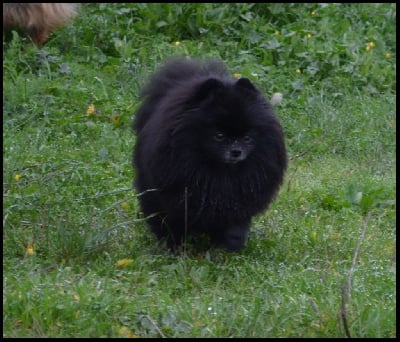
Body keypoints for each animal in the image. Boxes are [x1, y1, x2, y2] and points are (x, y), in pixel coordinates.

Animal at [133, 58, 286, 251]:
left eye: (247, 137)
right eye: (219, 135)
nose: (236, 151)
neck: (220, 172)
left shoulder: (238, 201)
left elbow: (234, 225)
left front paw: (230, 245)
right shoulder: (173, 195)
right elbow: (170, 223)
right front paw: (173, 247)